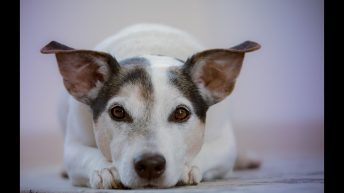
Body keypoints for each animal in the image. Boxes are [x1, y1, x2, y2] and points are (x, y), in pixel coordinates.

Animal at [40, 23, 260, 188]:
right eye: (118, 112)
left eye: (181, 113)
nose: (150, 164)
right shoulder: (73, 145)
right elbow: (84, 155)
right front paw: (106, 169)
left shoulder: (224, 144)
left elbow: (208, 150)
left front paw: (186, 167)